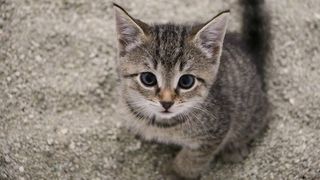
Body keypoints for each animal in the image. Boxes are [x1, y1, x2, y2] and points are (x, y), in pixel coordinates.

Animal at [112, 0, 270, 179]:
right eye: (148, 79)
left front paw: (176, 173)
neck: (162, 125)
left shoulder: (216, 131)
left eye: (186, 81)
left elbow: (191, 160)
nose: (166, 103)